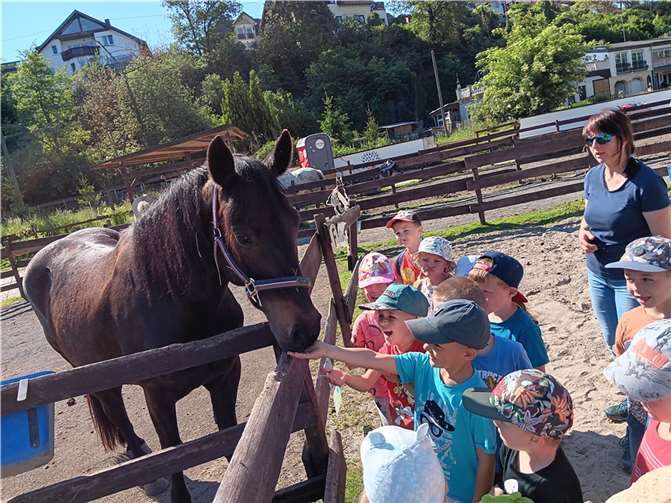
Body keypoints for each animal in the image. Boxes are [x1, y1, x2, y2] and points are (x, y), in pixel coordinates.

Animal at [23, 131, 322, 503]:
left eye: (294, 221)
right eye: (243, 236)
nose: (305, 327)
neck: (172, 300)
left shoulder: (226, 374)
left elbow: (229, 436)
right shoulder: (158, 397)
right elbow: (173, 452)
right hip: (92, 372)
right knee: (115, 409)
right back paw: (141, 459)